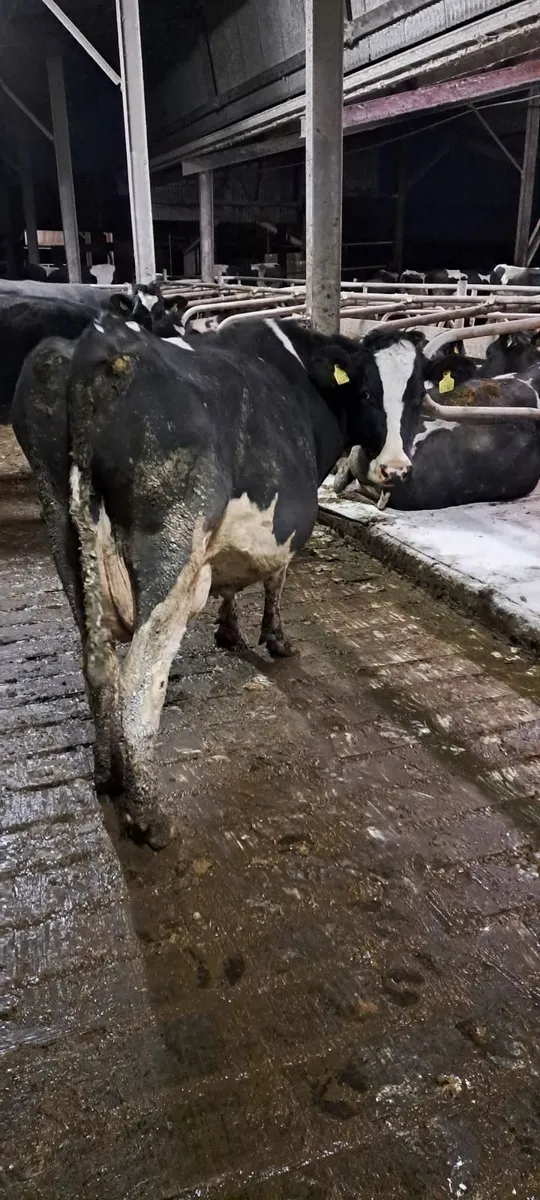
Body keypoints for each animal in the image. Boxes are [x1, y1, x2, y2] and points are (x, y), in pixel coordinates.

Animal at [12, 318, 429, 849]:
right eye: (369, 391)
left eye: (417, 394)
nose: (395, 469)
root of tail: (97, 340)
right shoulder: (284, 525)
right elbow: (277, 576)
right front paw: (275, 638)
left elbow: (235, 579)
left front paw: (229, 630)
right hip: (173, 551)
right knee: (140, 680)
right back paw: (147, 817)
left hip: (63, 531)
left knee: (98, 662)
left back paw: (108, 777)